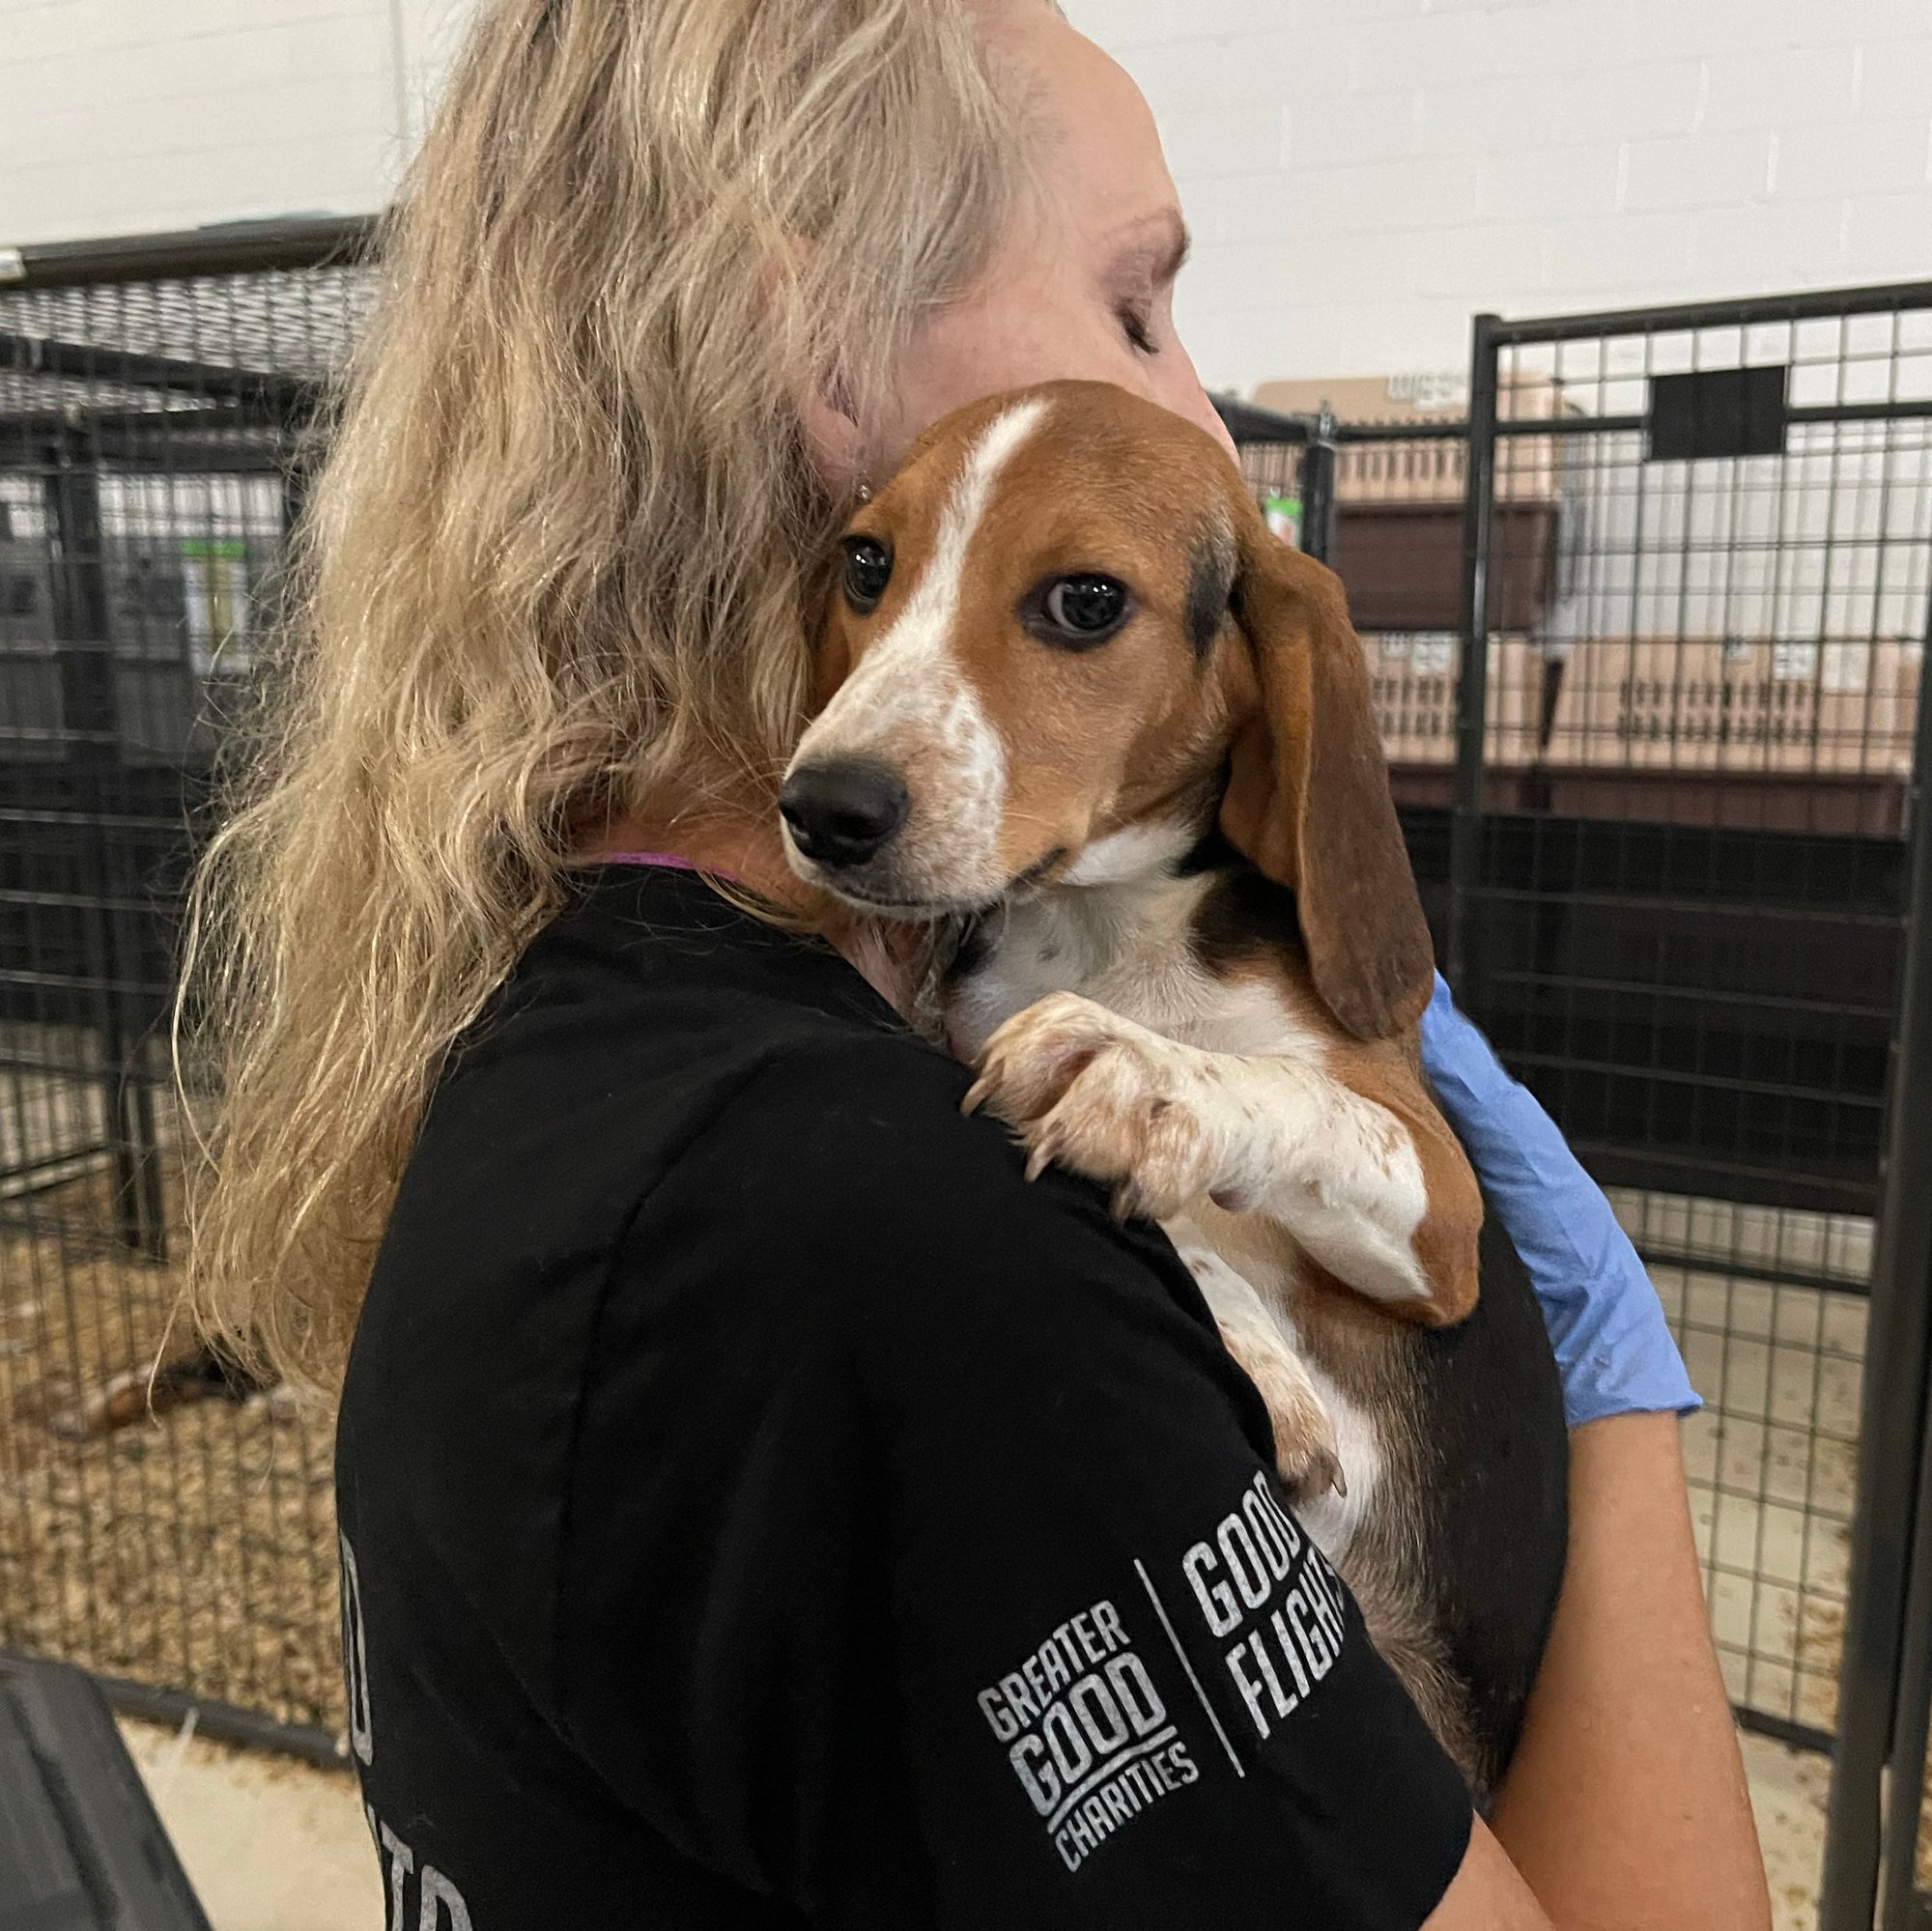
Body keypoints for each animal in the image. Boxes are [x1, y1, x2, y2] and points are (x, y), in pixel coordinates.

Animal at [781, 380, 1569, 1807]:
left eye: (1086, 601)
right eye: (868, 565)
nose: (823, 807)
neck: (1105, 934)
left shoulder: (1443, 1216)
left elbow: (1286, 1102)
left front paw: (1145, 1076)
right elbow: (1198, 1245)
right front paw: (1251, 1337)